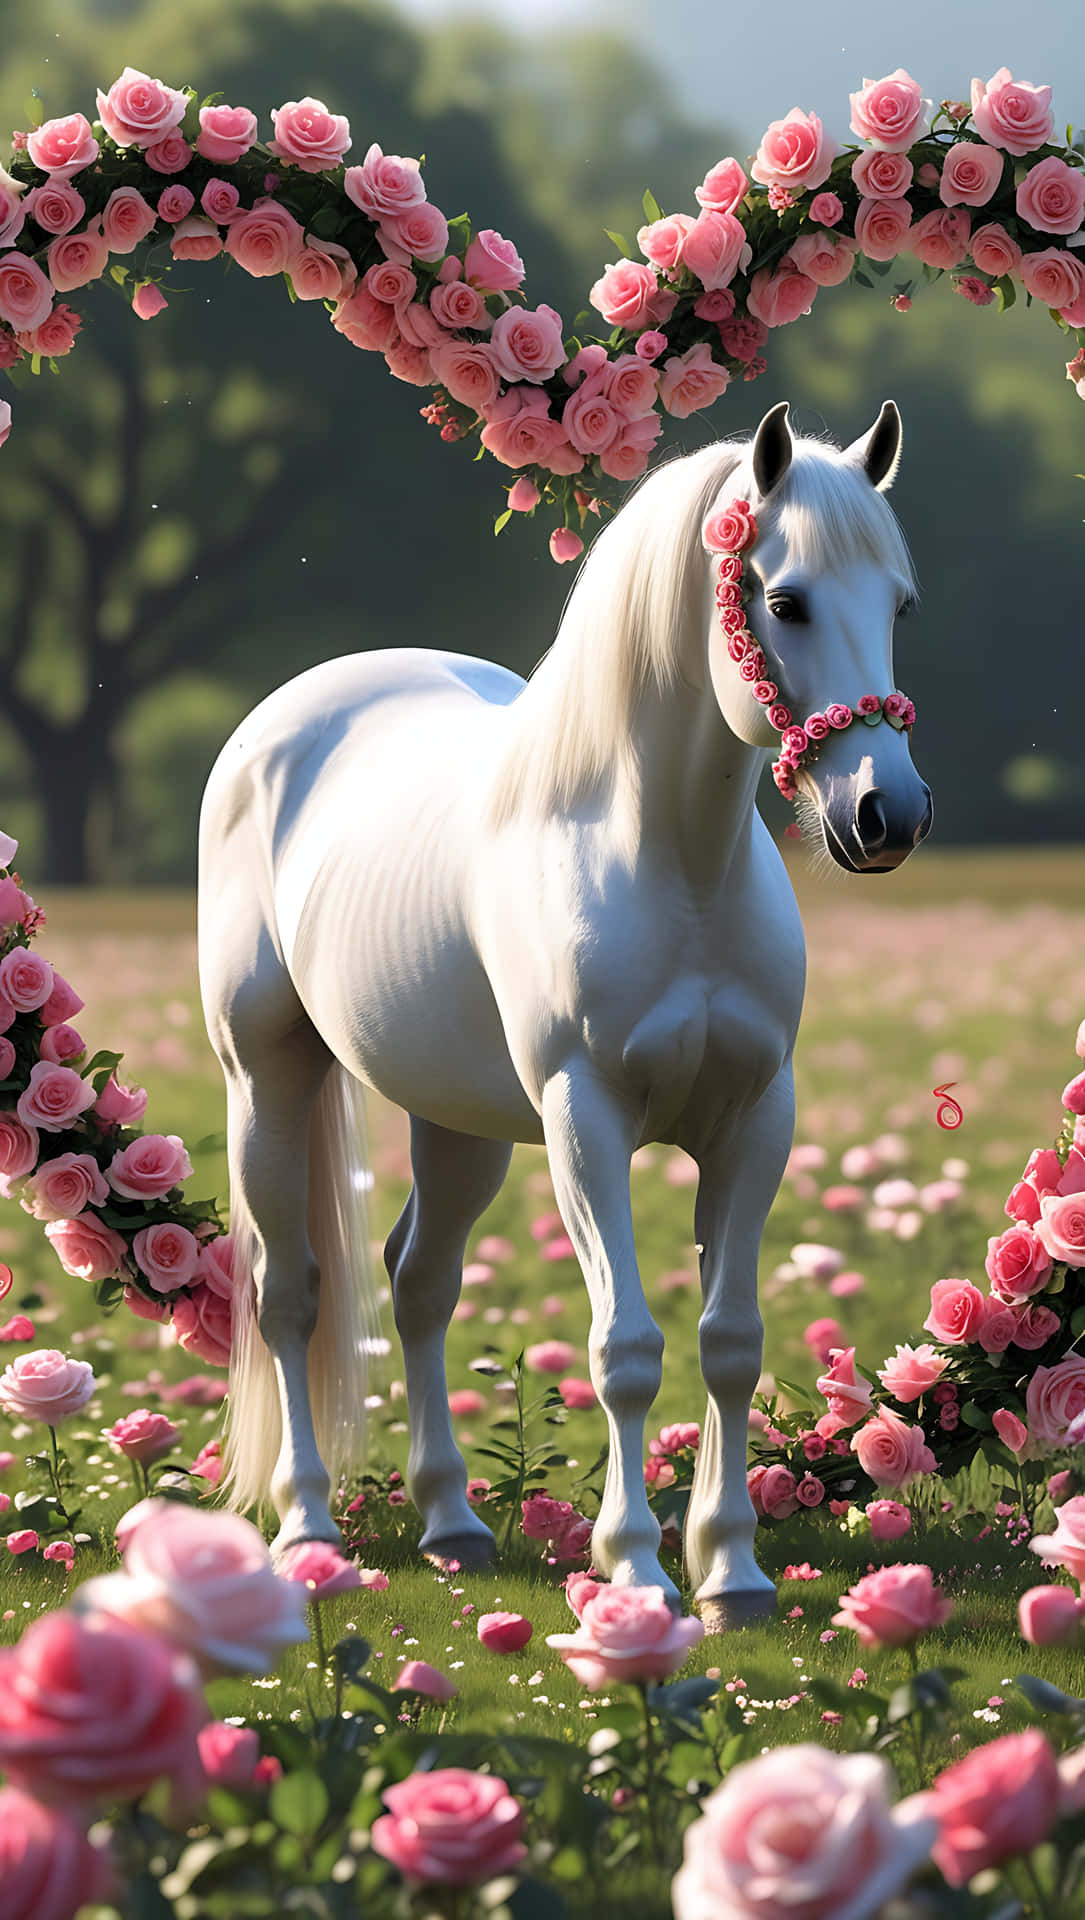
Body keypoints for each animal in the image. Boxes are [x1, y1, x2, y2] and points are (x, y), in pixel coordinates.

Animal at [198, 398, 932, 1630]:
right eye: (784, 601)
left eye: (899, 604)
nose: (886, 816)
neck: (669, 864)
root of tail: (282, 722)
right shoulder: (582, 1121)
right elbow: (624, 1349)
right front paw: (635, 1569)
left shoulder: (753, 1121)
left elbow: (728, 1342)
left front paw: (732, 1574)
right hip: (269, 1078)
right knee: (289, 1294)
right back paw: (306, 1527)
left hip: (455, 1125)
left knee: (418, 1286)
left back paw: (451, 1523)